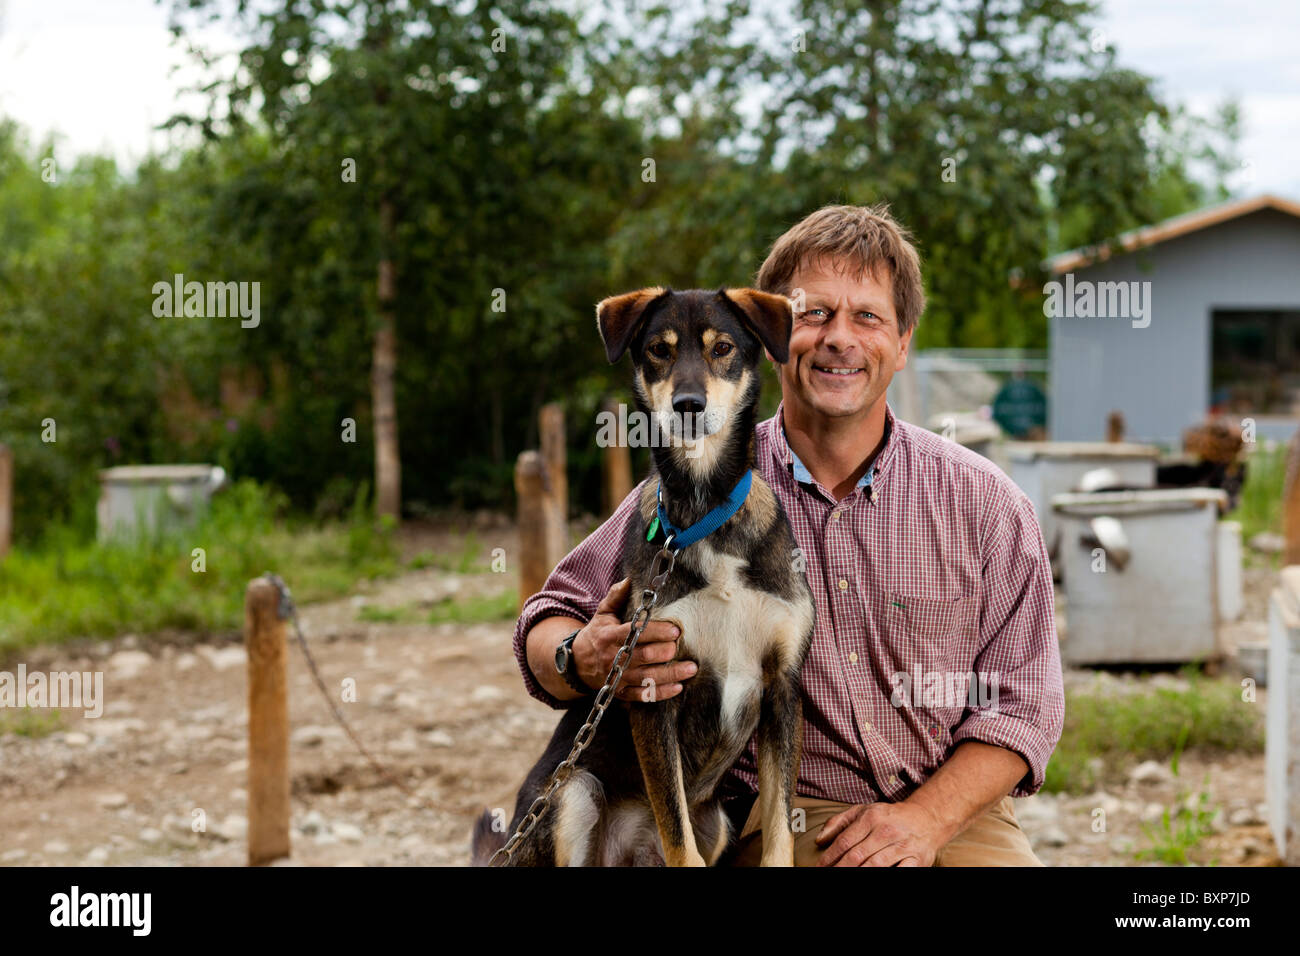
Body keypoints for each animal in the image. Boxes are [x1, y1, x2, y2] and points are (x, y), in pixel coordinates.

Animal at [467, 286, 811, 868]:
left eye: (723, 348)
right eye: (658, 350)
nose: (688, 406)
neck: (702, 513)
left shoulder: (782, 688)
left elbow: (781, 829)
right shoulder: (652, 686)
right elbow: (678, 836)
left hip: (717, 819)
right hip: (573, 793)